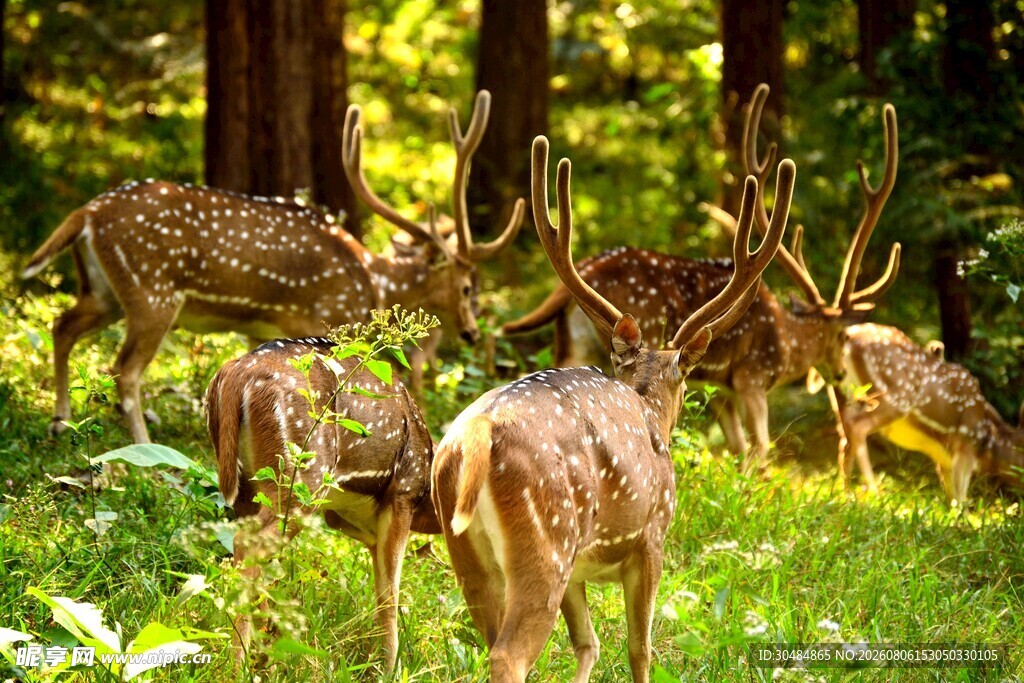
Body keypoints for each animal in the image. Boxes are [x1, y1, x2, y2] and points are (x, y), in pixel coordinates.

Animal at [21, 89, 523, 444]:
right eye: (468, 287)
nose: (472, 332)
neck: (372, 284)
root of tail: (87, 214)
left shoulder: (259, 331)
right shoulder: (324, 323)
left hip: (104, 288)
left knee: (61, 324)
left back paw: (59, 421)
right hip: (152, 292)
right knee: (124, 368)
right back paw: (144, 448)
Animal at [206, 336, 440, 670]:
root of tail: (235, 375)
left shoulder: (345, 518)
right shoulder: (402, 494)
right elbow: (389, 592)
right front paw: (390, 666)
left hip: (247, 488)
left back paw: (260, 654)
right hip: (300, 477)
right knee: (248, 543)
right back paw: (240, 663)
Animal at [430, 136, 794, 682]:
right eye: (683, 381)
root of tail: (475, 433)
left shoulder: (582, 571)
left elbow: (589, 643)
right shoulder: (653, 536)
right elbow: (639, 648)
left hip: (468, 552)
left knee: (490, 638)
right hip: (547, 541)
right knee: (508, 654)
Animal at [501, 84, 900, 469]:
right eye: (844, 336)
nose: (842, 376)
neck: (788, 343)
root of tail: (581, 270)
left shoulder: (721, 389)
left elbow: (738, 447)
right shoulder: (751, 376)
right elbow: (760, 448)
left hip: (570, 341)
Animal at [825, 323, 1024, 502]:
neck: (988, 442)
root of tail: (849, 337)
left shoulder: (944, 459)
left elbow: (951, 497)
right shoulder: (964, 448)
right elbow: (960, 499)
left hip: (847, 396)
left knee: (844, 437)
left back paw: (845, 496)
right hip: (897, 396)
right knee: (857, 427)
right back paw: (874, 493)